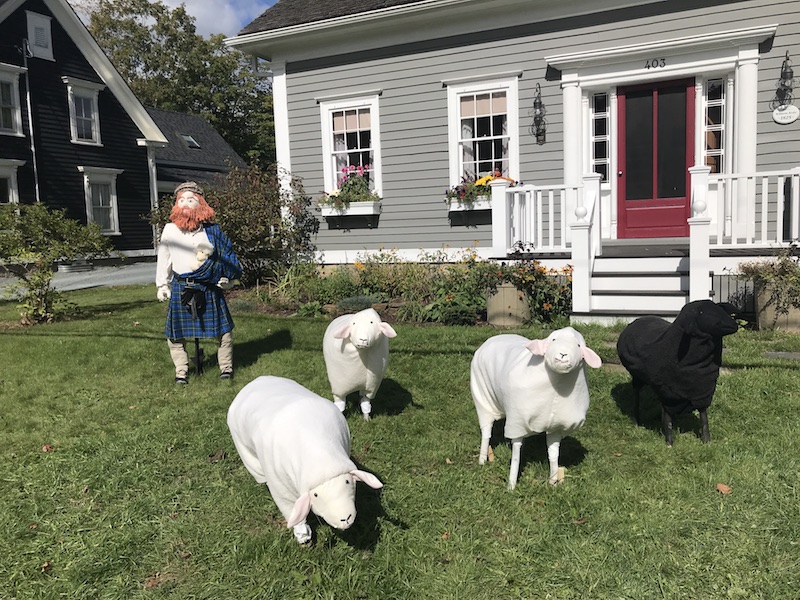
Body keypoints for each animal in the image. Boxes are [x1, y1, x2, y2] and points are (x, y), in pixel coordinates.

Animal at [228, 376, 384, 544]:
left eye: (348, 482)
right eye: (315, 496)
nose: (346, 518)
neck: (319, 453)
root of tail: (256, 380)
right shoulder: (280, 486)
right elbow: (290, 507)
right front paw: (303, 535)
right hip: (245, 451)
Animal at [468, 326, 600, 490]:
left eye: (578, 345)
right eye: (553, 339)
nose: (563, 354)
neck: (557, 387)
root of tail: (494, 338)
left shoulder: (557, 426)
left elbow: (553, 453)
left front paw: (553, 482)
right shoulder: (517, 422)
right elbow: (516, 455)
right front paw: (511, 486)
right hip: (482, 400)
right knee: (486, 432)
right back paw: (482, 460)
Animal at [616, 300, 740, 446]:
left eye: (720, 308)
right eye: (701, 312)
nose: (733, 324)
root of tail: (639, 319)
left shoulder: (703, 391)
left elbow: (704, 417)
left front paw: (707, 441)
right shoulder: (668, 393)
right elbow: (669, 420)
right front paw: (669, 443)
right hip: (638, 377)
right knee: (636, 394)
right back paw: (637, 420)